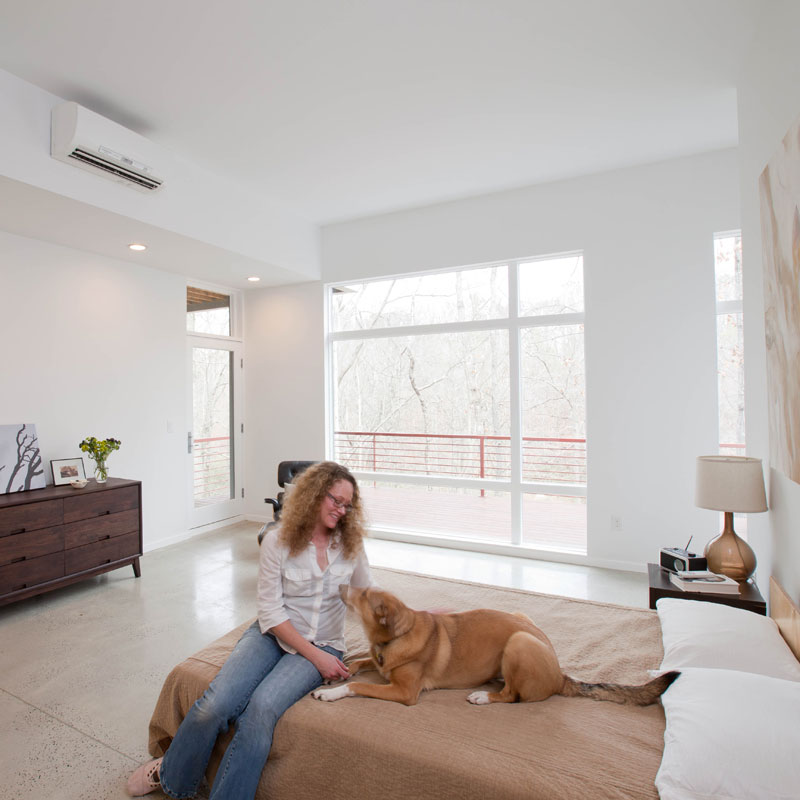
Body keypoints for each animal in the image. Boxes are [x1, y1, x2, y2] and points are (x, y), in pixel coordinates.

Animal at [310, 580, 676, 708]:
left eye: (362, 594)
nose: (340, 585)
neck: (392, 639)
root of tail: (561, 676)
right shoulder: (377, 661)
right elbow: (358, 663)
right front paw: (336, 672)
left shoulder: (405, 693)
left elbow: (358, 686)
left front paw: (330, 692)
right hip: (521, 618)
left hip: (518, 642)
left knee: (512, 696)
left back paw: (482, 696)